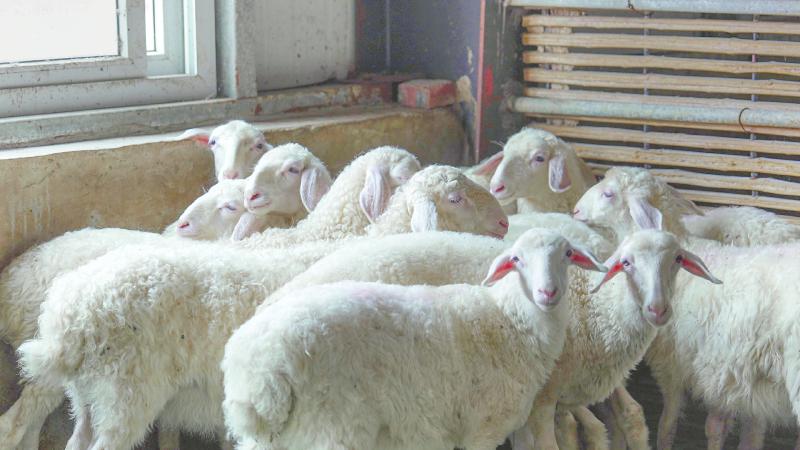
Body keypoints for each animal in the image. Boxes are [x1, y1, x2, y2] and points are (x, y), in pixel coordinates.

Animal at [221, 229, 608, 450]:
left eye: (567, 254)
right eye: (516, 259)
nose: (547, 292)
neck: (509, 319)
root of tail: (257, 372)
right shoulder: (482, 428)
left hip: (273, 440)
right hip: (329, 430)